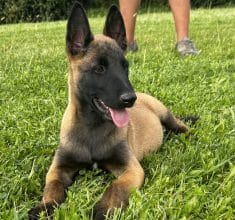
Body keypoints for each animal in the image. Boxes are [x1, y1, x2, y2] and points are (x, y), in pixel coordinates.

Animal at [28, 2, 195, 220]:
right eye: (99, 69)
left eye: (125, 67)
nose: (130, 99)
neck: (92, 127)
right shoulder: (58, 168)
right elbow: (53, 187)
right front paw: (45, 206)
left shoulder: (131, 169)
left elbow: (116, 188)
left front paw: (103, 210)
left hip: (165, 114)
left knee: (180, 125)